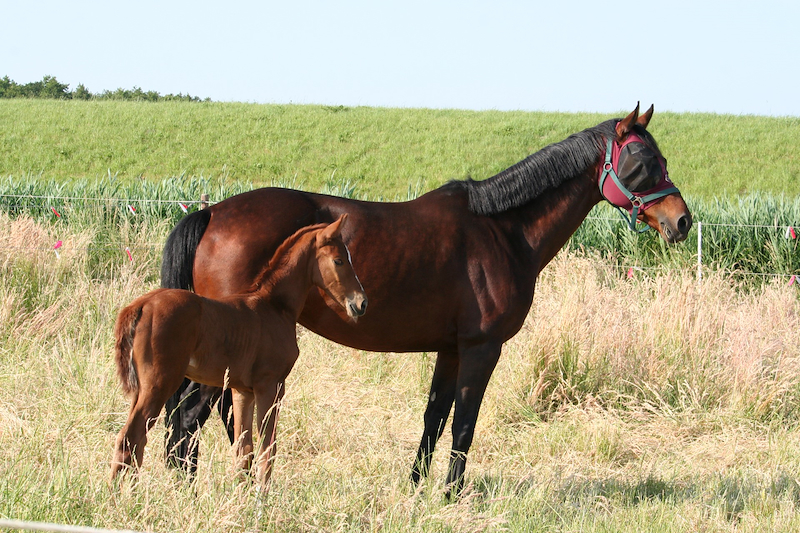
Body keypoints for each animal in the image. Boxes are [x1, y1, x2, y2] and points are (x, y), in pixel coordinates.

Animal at [111, 215, 367, 485]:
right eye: (339, 260)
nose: (361, 303)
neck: (274, 306)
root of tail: (141, 305)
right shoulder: (271, 385)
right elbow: (267, 447)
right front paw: (262, 494)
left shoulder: (242, 390)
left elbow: (244, 449)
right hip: (158, 384)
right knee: (131, 438)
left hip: (142, 388)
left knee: (135, 442)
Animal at [160, 104, 692, 495]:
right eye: (642, 163)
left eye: (661, 160)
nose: (682, 221)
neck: (502, 230)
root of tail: (212, 213)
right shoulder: (481, 348)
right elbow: (464, 423)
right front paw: (452, 494)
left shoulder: (451, 348)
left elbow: (434, 418)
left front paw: (416, 486)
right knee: (189, 415)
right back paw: (191, 488)